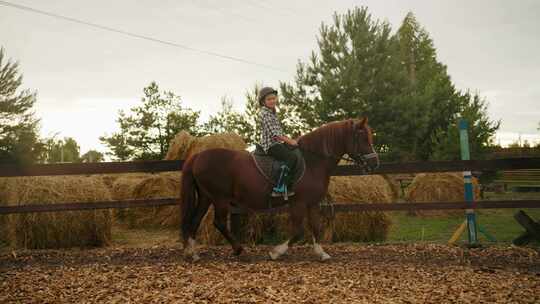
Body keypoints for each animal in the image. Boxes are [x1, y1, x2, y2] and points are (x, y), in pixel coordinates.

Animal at [179, 117, 378, 262]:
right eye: (363, 138)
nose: (375, 163)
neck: (313, 161)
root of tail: (197, 156)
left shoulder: (312, 203)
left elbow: (316, 228)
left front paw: (321, 253)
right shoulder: (299, 203)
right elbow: (298, 231)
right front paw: (276, 252)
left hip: (206, 197)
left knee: (195, 221)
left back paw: (192, 253)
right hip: (219, 198)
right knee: (219, 222)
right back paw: (239, 250)